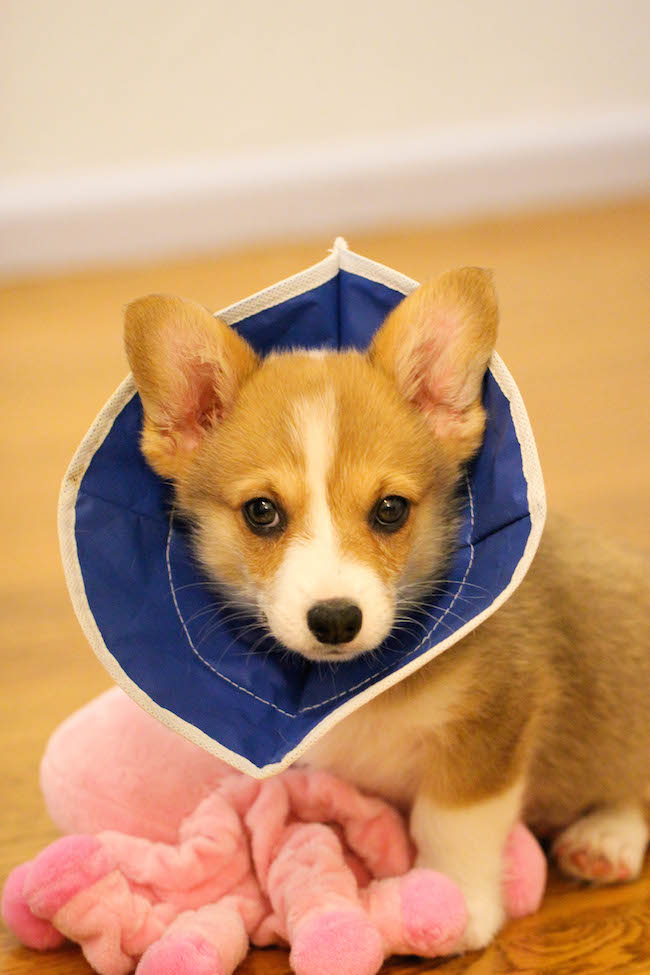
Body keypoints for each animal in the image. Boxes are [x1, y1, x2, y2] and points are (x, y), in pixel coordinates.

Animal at [124, 268, 644, 952]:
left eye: (390, 510)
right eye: (262, 512)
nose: (336, 620)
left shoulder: (490, 728)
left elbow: (451, 824)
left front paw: (457, 906)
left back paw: (606, 838)